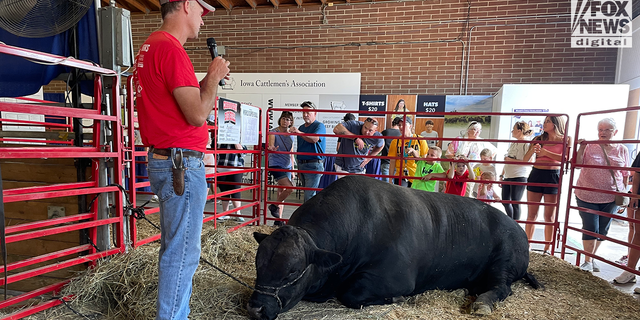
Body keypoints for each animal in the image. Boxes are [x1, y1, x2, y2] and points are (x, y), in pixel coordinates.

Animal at [246, 175, 540, 320]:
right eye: (258, 265)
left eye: (292, 272)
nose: (256, 308)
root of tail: (517, 229)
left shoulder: (394, 277)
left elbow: (352, 294)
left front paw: (396, 299)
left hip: (503, 263)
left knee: (501, 287)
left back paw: (482, 303)